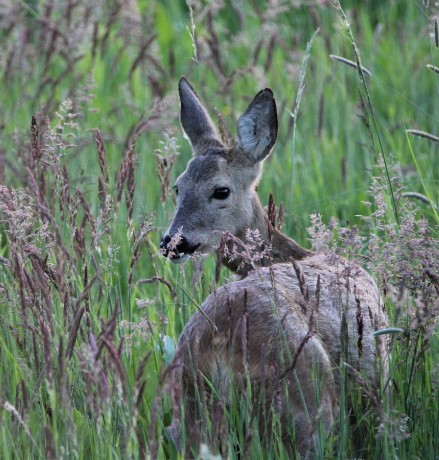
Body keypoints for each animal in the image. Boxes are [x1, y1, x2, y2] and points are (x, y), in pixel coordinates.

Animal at [162, 76, 388, 456]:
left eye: (220, 190)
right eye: (179, 188)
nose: (172, 242)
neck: (301, 256)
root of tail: (220, 345)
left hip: (189, 417)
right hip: (308, 407)